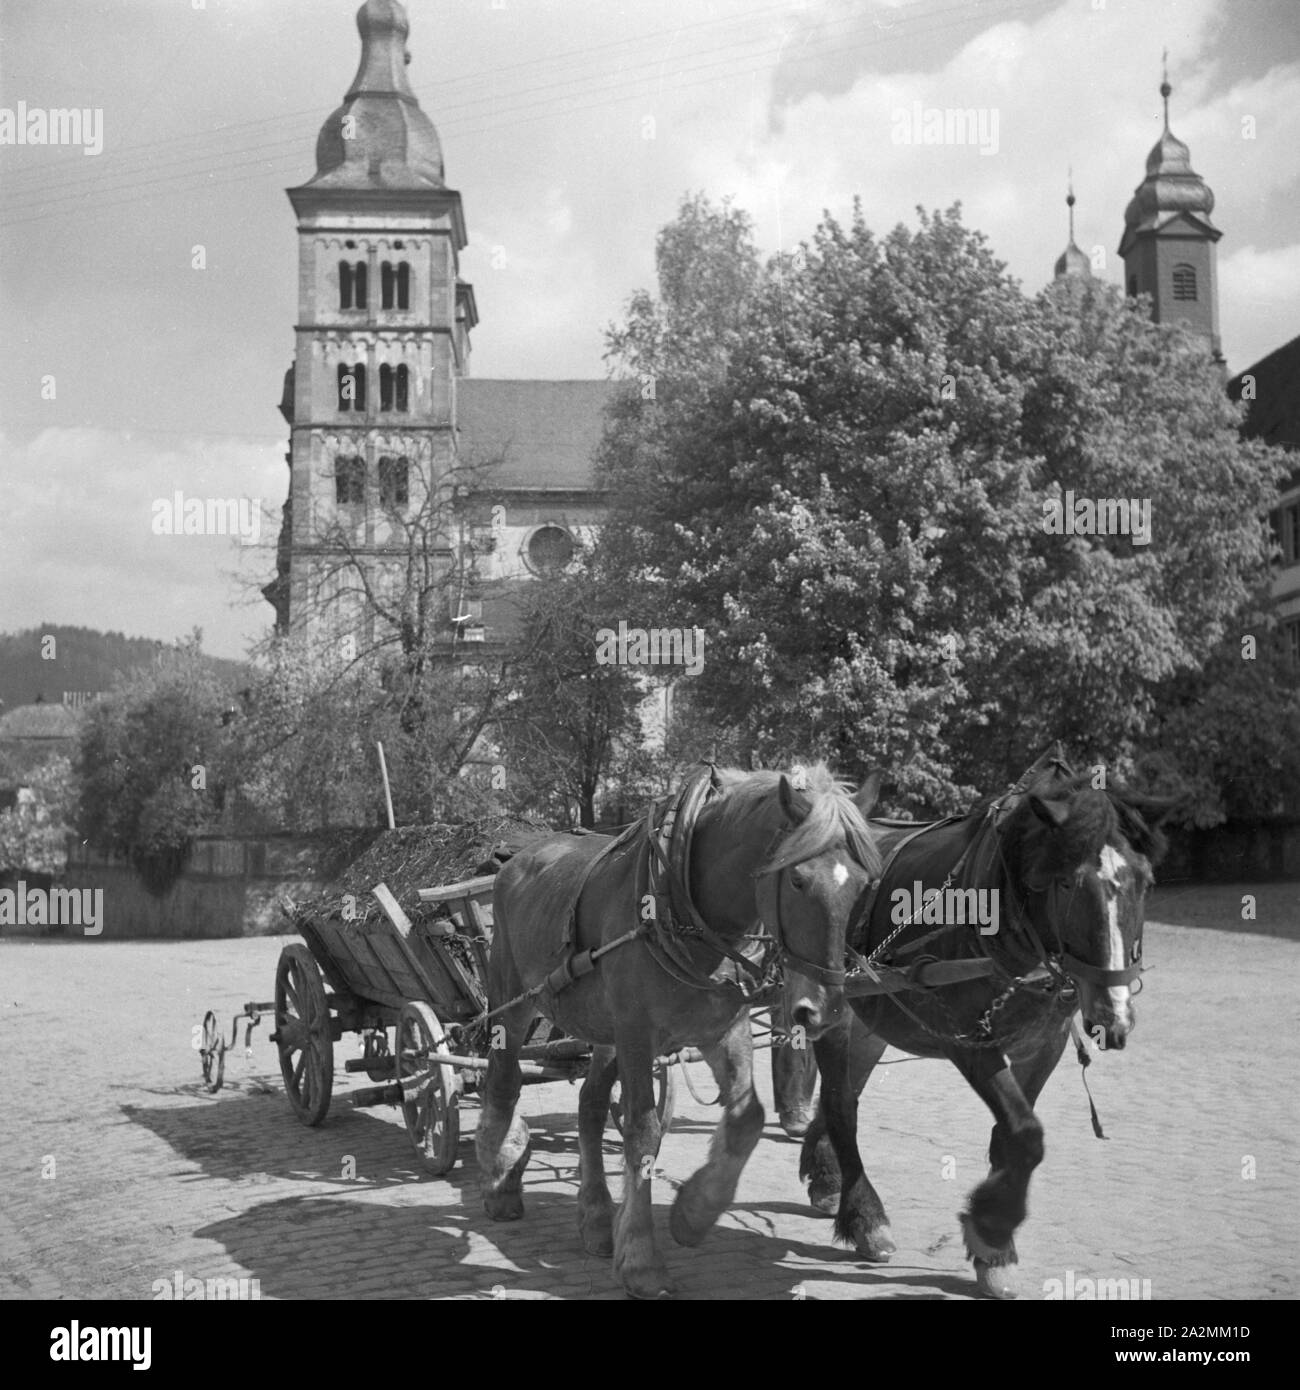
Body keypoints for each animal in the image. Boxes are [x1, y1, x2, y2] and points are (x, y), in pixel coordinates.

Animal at [475, 767, 884, 1295]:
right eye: (797, 879)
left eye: (864, 885)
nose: (830, 1009)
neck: (685, 905)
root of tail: (518, 859)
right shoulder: (636, 1032)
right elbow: (643, 1132)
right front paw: (640, 1259)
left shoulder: (721, 1026)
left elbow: (748, 1117)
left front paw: (693, 1212)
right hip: (514, 1000)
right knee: (503, 1083)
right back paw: (500, 1174)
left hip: (601, 1029)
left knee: (589, 1107)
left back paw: (596, 1218)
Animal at [800, 756, 1173, 1295]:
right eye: (1066, 883)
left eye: (1146, 882)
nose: (1113, 1015)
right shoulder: (970, 1039)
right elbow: (1026, 1134)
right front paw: (992, 1234)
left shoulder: (1044, 1045)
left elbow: (1009, 1138)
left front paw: (993, 1248)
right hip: (835, 1011)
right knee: (840, 1105)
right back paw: (865, 1218)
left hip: (871, 1020)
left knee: (844, 1094)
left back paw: (828, 1178)